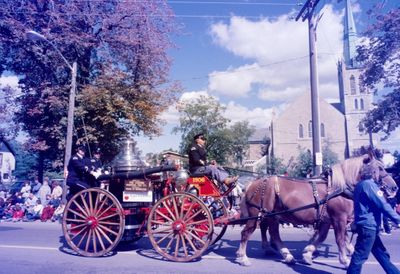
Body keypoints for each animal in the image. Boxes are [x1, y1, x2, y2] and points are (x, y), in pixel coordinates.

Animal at [236, 153, 398, 268]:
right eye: (380, 168)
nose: (394, 187)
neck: (340, 188)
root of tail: (252, 183)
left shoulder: (328, 219)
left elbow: (323, 237)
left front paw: (308, 253)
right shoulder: (339, 218)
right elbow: (340, 239)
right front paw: (345, 260)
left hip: (272, 215)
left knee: (273, 233)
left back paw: (286, 255)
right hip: (257, 214)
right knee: (246, 233)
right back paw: (243, 257)